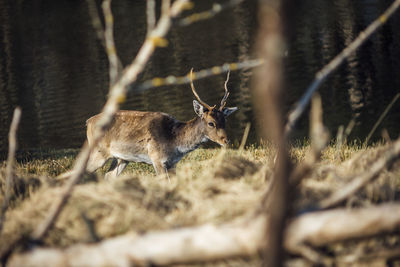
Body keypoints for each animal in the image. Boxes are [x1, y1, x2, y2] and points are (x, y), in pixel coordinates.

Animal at [86, 70, 238, 181]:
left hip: (121, 158)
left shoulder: (172, 164)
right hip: (98, 152)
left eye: (225, 120)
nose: (226, 141)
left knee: (108, 176)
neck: (175, 142)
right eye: (211, 123)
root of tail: (88, 122)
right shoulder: (157, 159)